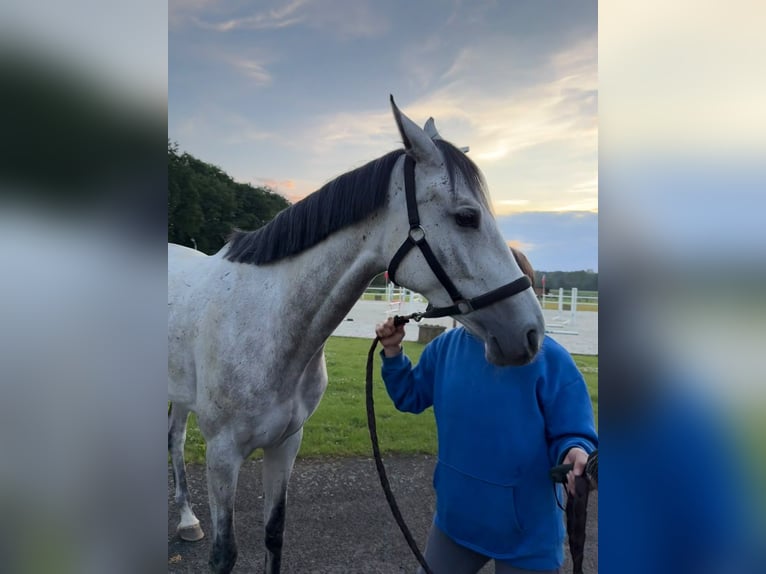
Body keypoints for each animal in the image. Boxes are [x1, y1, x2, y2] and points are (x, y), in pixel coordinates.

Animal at [168, 97, 546, 573]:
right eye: (467, 217)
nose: (530, 332)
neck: (267, 322)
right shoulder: (222, 455)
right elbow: (224, 554)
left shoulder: (286, 445)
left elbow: (274, 534)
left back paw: (186, 519)